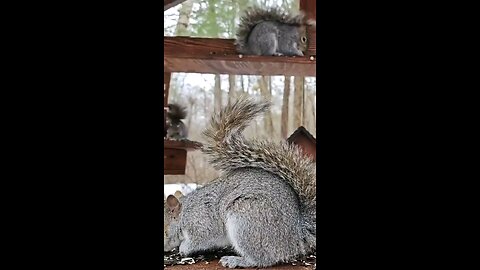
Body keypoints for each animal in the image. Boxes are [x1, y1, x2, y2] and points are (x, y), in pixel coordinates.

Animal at [163, 96, 316, 268]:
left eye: (164, 229)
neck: (185, 213)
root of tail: (297, 233)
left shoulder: (202, 224)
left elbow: (199, 240)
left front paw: (184, 248)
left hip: (246, 221)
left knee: (262, 259)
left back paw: (236, 260)